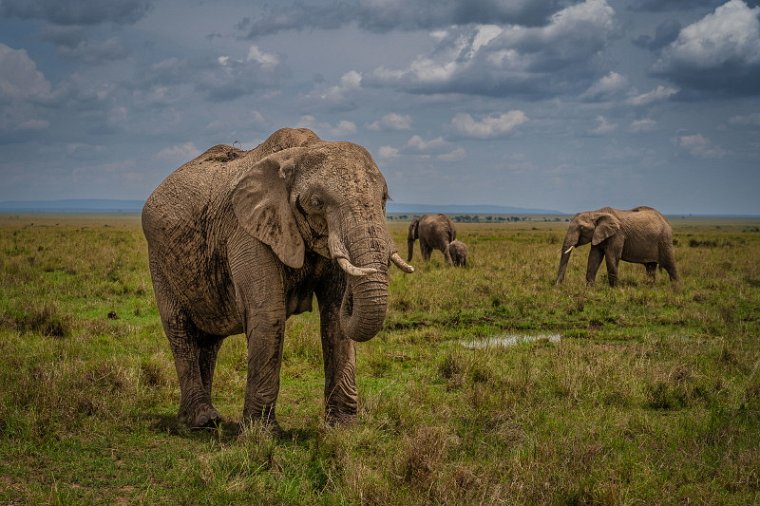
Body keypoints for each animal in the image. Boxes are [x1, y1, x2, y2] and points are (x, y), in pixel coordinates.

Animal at [142, 127, 416, 430]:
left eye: (384, 199)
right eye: (317, 203)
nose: (352, 295)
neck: (301, 152)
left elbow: (333, 316)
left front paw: (343, 427)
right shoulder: (247, 230)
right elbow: (268, 314)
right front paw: (260, 433)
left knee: (210, 341)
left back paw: (196, 418)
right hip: (158, 260)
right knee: (180, 329)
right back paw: (203, 419)